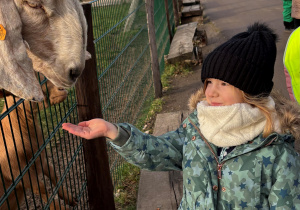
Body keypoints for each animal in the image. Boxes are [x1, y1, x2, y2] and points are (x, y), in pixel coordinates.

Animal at [0, 76, 75, 210]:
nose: (61, 89)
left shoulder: (40, 158)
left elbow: (53, 174)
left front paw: (69, 198)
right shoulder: (18, 174)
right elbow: (41, 189)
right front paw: (60, 207)